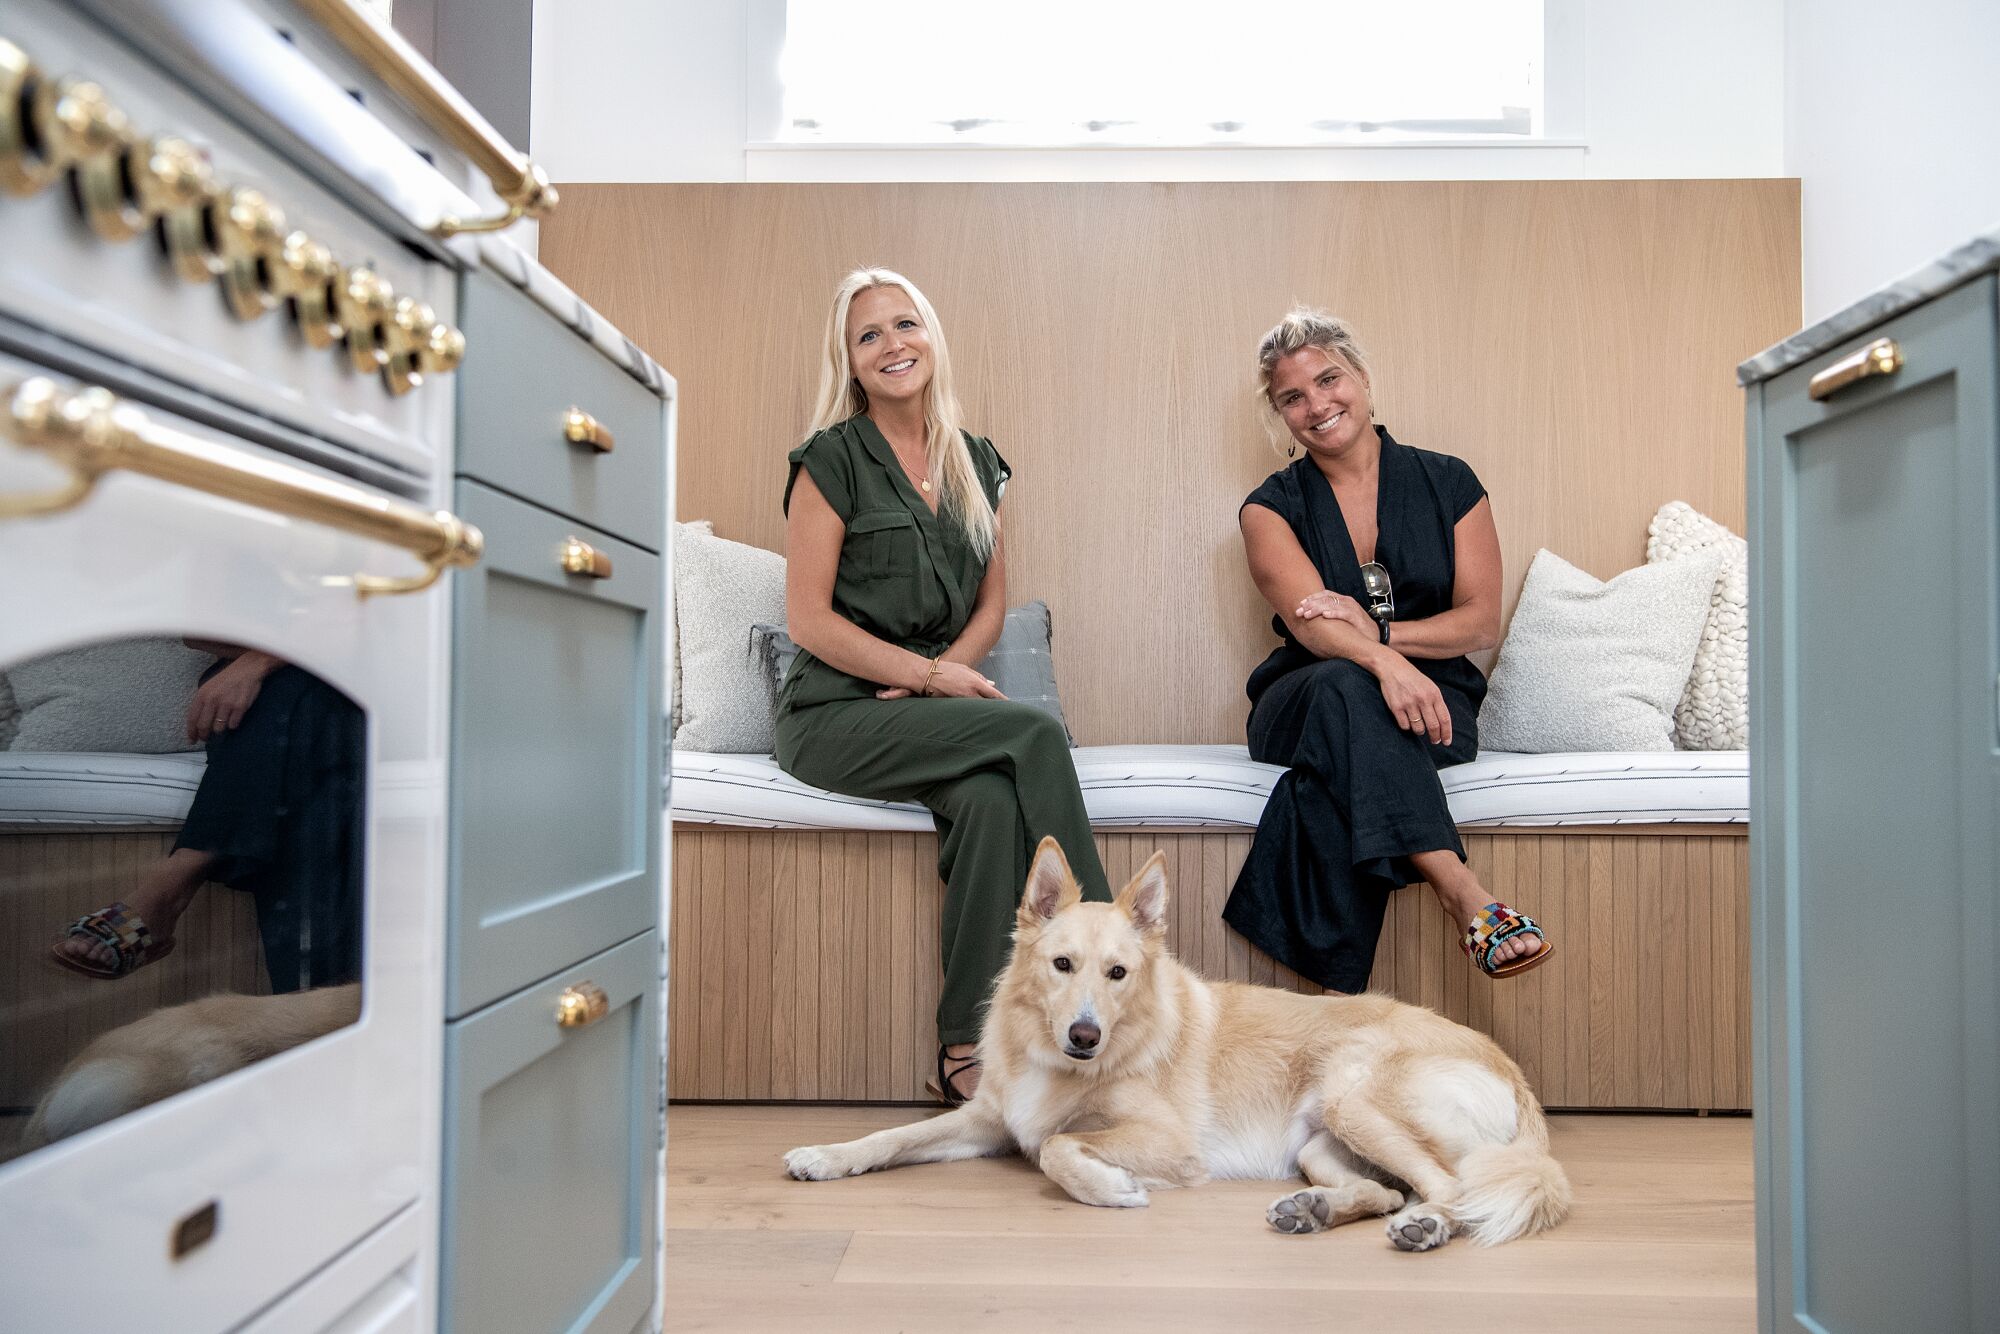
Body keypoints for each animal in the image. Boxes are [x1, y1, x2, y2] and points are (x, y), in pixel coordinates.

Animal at [788, 836, 1568, 1256]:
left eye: (1118, 974)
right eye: (1062, 965)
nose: (1084, 1036)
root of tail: (1513, 1072)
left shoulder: (1169, 1144)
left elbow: (1058, 1147)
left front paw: (1108, 1188)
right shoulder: (988, 1119)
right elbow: (891, 1136)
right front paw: (825, 1156)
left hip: (1355, 1101)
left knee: (1450, 1191)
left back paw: (1426, 1228)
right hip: (1321, 1144)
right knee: (1384, 1191)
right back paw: (1314, 1212)